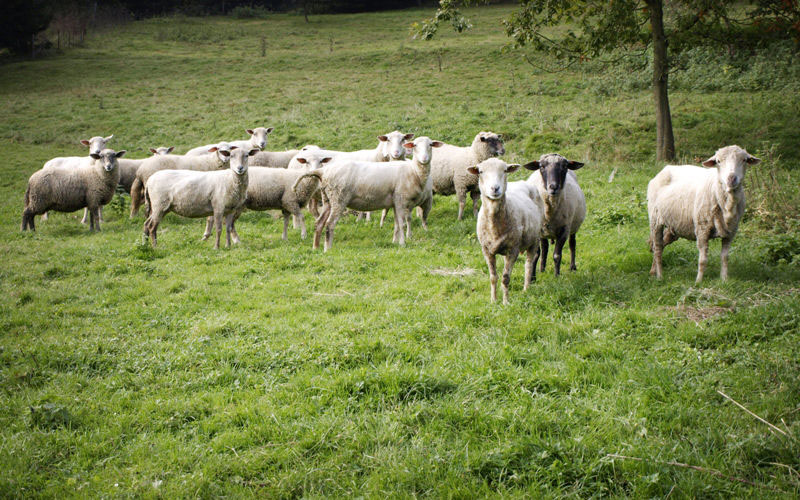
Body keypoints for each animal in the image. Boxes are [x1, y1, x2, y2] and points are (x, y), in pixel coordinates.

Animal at [202, 149, 334, 243]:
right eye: (307, 162)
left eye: (321, 162)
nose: (314, 171)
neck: (302, 179)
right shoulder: (290, 201)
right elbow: (301, 217)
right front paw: (303, 235)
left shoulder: (285, 204)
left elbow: (286, 221)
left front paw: (284, 238)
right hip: (237, 205)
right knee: (229, 223)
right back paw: (236, 240)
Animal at [293, 136, 443, 251]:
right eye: (415, 145)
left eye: (430, 145)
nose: (424, 158)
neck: (414, 171)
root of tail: (323, 171)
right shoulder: (401, 200)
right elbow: (402, 224)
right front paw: (402, 243)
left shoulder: (395, 202)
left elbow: (396, 224)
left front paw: (394, 242)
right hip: (339, 198)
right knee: (330, 224)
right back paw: (327, 249)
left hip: (328, 199)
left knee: (319, 223)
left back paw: (316, 247)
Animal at [468, 158, 543, 304]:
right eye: (481, 171)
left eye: (505, 170)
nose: (495, 188)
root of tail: (523, 182)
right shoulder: (486, 250)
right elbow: (493, 277)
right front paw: (493, 300)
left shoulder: (513, 249)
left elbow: (505, 277)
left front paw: (506, 302)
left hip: (535, 239)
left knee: (529, 265)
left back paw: (526, 289)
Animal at [647, 145, 760, 283]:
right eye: (718, 161)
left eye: (744, 160)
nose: (731, 179)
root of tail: (666, 168)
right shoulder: (702, 229)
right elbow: (703, 260)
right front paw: (698, 282)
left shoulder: (731, 232)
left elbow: (725, 257)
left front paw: (724, 279)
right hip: (655, 219)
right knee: (658, 247)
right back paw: (660, 276)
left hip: (674, 225)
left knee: (660, 244)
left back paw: (653, 271)